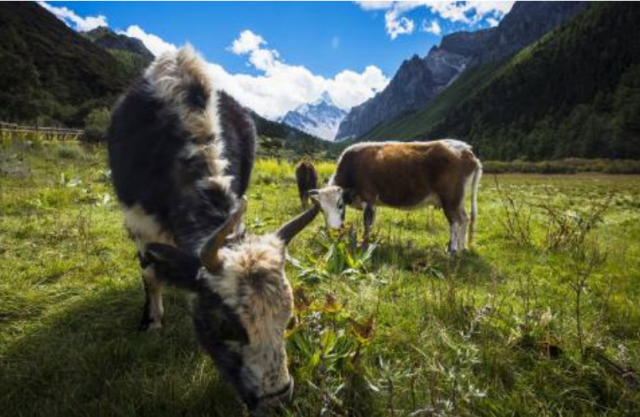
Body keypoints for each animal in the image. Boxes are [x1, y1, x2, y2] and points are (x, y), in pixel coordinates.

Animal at [107, 46, 319, 411]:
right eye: (225, 326)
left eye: (288, 317)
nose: (276, 399)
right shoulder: (138, 221)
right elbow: (150, 276)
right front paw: (151, 321)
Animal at [310, 140, 482, 253]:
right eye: (322, 210)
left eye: (340, 205)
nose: (334, 231)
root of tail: (467, 150)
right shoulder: (373, 203)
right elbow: (371, 222)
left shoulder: (368, 197)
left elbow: (367, 223)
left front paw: (364, 245)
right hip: (458, 200)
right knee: (465, 218)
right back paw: (462, 247)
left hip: (450, 199)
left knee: (455, 221)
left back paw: (452, 249)